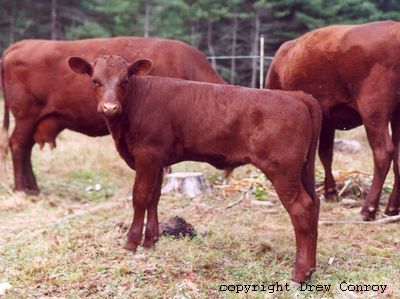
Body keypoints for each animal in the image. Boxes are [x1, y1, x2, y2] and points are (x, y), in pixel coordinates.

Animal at [0, 37, 225, 195]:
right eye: (95, 81)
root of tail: (20, 44)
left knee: (25, 148)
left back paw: (33, 188)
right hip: (26, 116)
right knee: (18, 145)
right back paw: (23, 189)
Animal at [266, 20, 400, 220]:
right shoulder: (327, 119)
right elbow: (326, 154)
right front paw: (331, 192)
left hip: (374, 112)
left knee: (383, 152)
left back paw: (368, 210)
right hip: (395, 115)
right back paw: (392, 207)